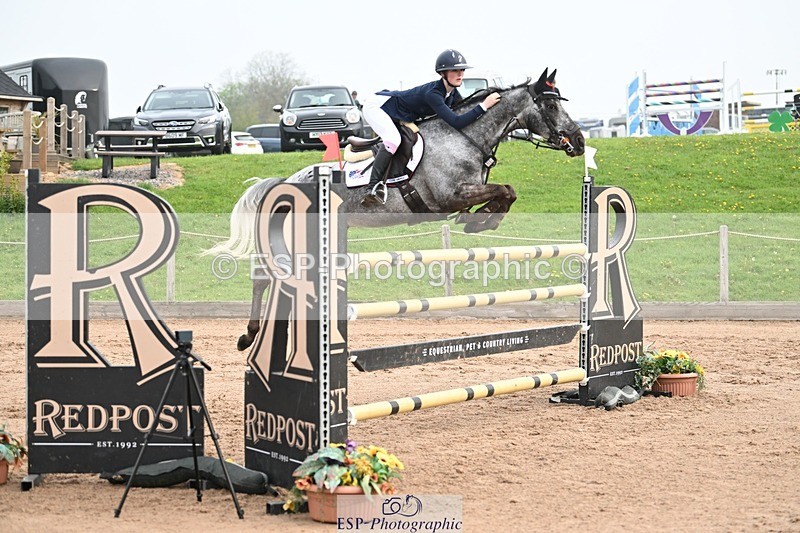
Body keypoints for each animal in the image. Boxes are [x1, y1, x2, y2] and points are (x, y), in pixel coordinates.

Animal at [206, 68, 585, 351]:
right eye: (550, 106)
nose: (580, 142)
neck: (465, 138)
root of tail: (284, 182)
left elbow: (508, 191)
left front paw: (480, 220)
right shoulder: (448, 196)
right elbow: (502, 191)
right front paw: (479, 221)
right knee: (263, 278)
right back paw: (249, 336)